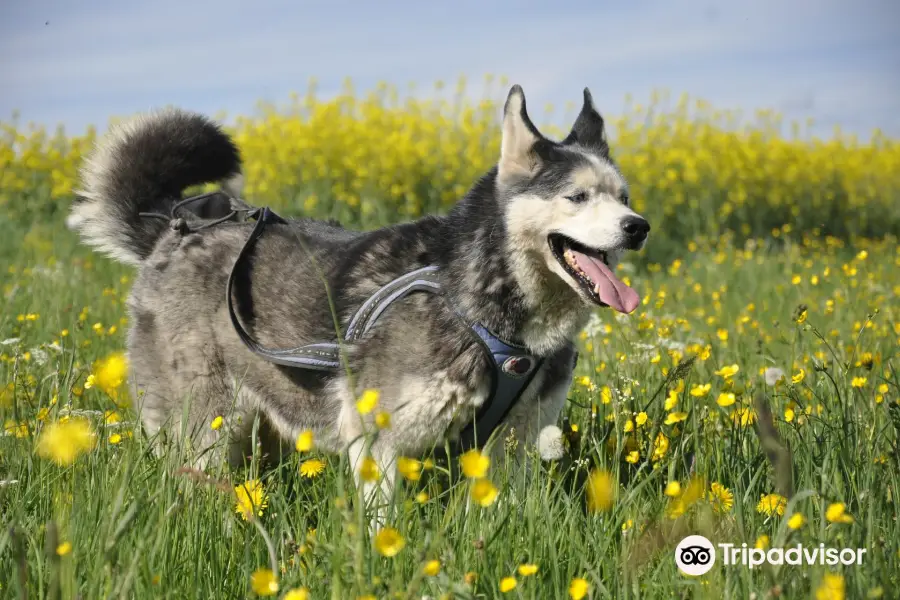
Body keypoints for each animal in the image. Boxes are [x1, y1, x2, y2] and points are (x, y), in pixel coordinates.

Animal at [68, 84, 648, 506]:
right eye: (577, 196)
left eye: (623, 196)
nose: (638, 226)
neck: (479, 305)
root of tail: (171, 227)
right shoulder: (377, 437)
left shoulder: (514, 441)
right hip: (205, 421)